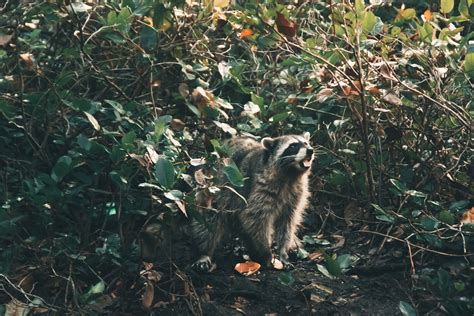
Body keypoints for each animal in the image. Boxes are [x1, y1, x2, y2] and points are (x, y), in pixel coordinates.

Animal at [191, 132, 312, 270]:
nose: (310, 150)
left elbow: (287, 223)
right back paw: (204, 252)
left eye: (306, 143)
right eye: (293, 146)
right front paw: (267, 252)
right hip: (212, 187)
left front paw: (283, 252)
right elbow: (254, 218)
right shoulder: (259, 187)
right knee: (209, 219)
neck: (290, 174)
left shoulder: (296, 194)